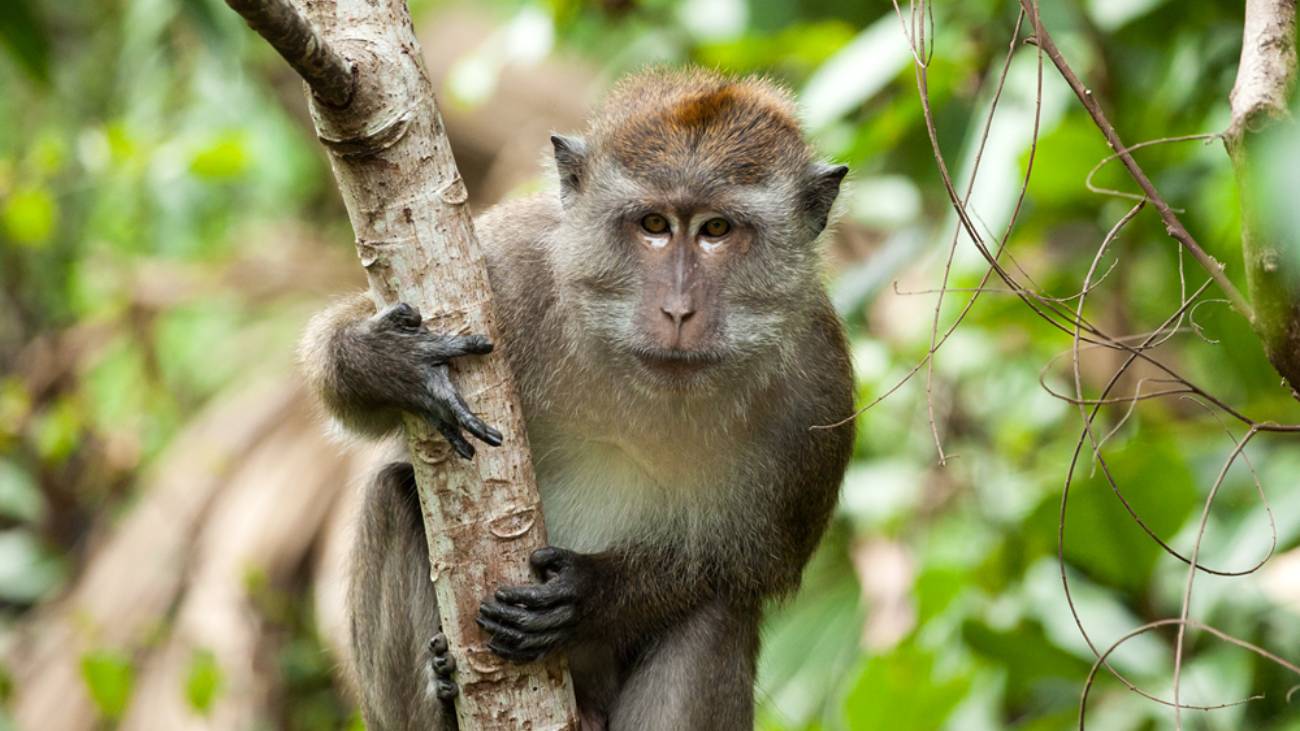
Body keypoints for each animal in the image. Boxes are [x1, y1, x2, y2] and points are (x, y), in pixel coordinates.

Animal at [299, 68, 857, 728]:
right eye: (654, 226)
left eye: (717, 230)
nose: (677, 310)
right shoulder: (509, 268)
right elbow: (339, 384)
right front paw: (390, 361)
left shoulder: (820, 389)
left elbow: (755, 563)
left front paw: (592, 593)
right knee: (390, 494)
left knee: (718, 611)